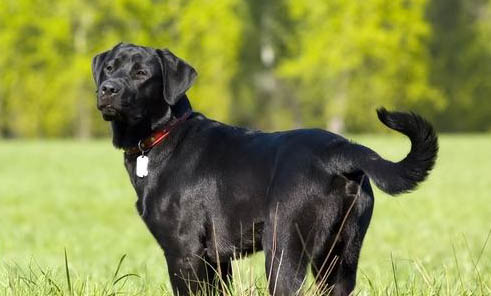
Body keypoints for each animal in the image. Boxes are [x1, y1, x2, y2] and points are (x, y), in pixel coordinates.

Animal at [91, 42, 438, 294]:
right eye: (109, 68)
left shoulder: (184, 252)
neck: (163, 135)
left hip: (283, 248)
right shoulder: (217, 260)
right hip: (339, 258)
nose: (108, 88)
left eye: (141, 73)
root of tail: (340, 151)